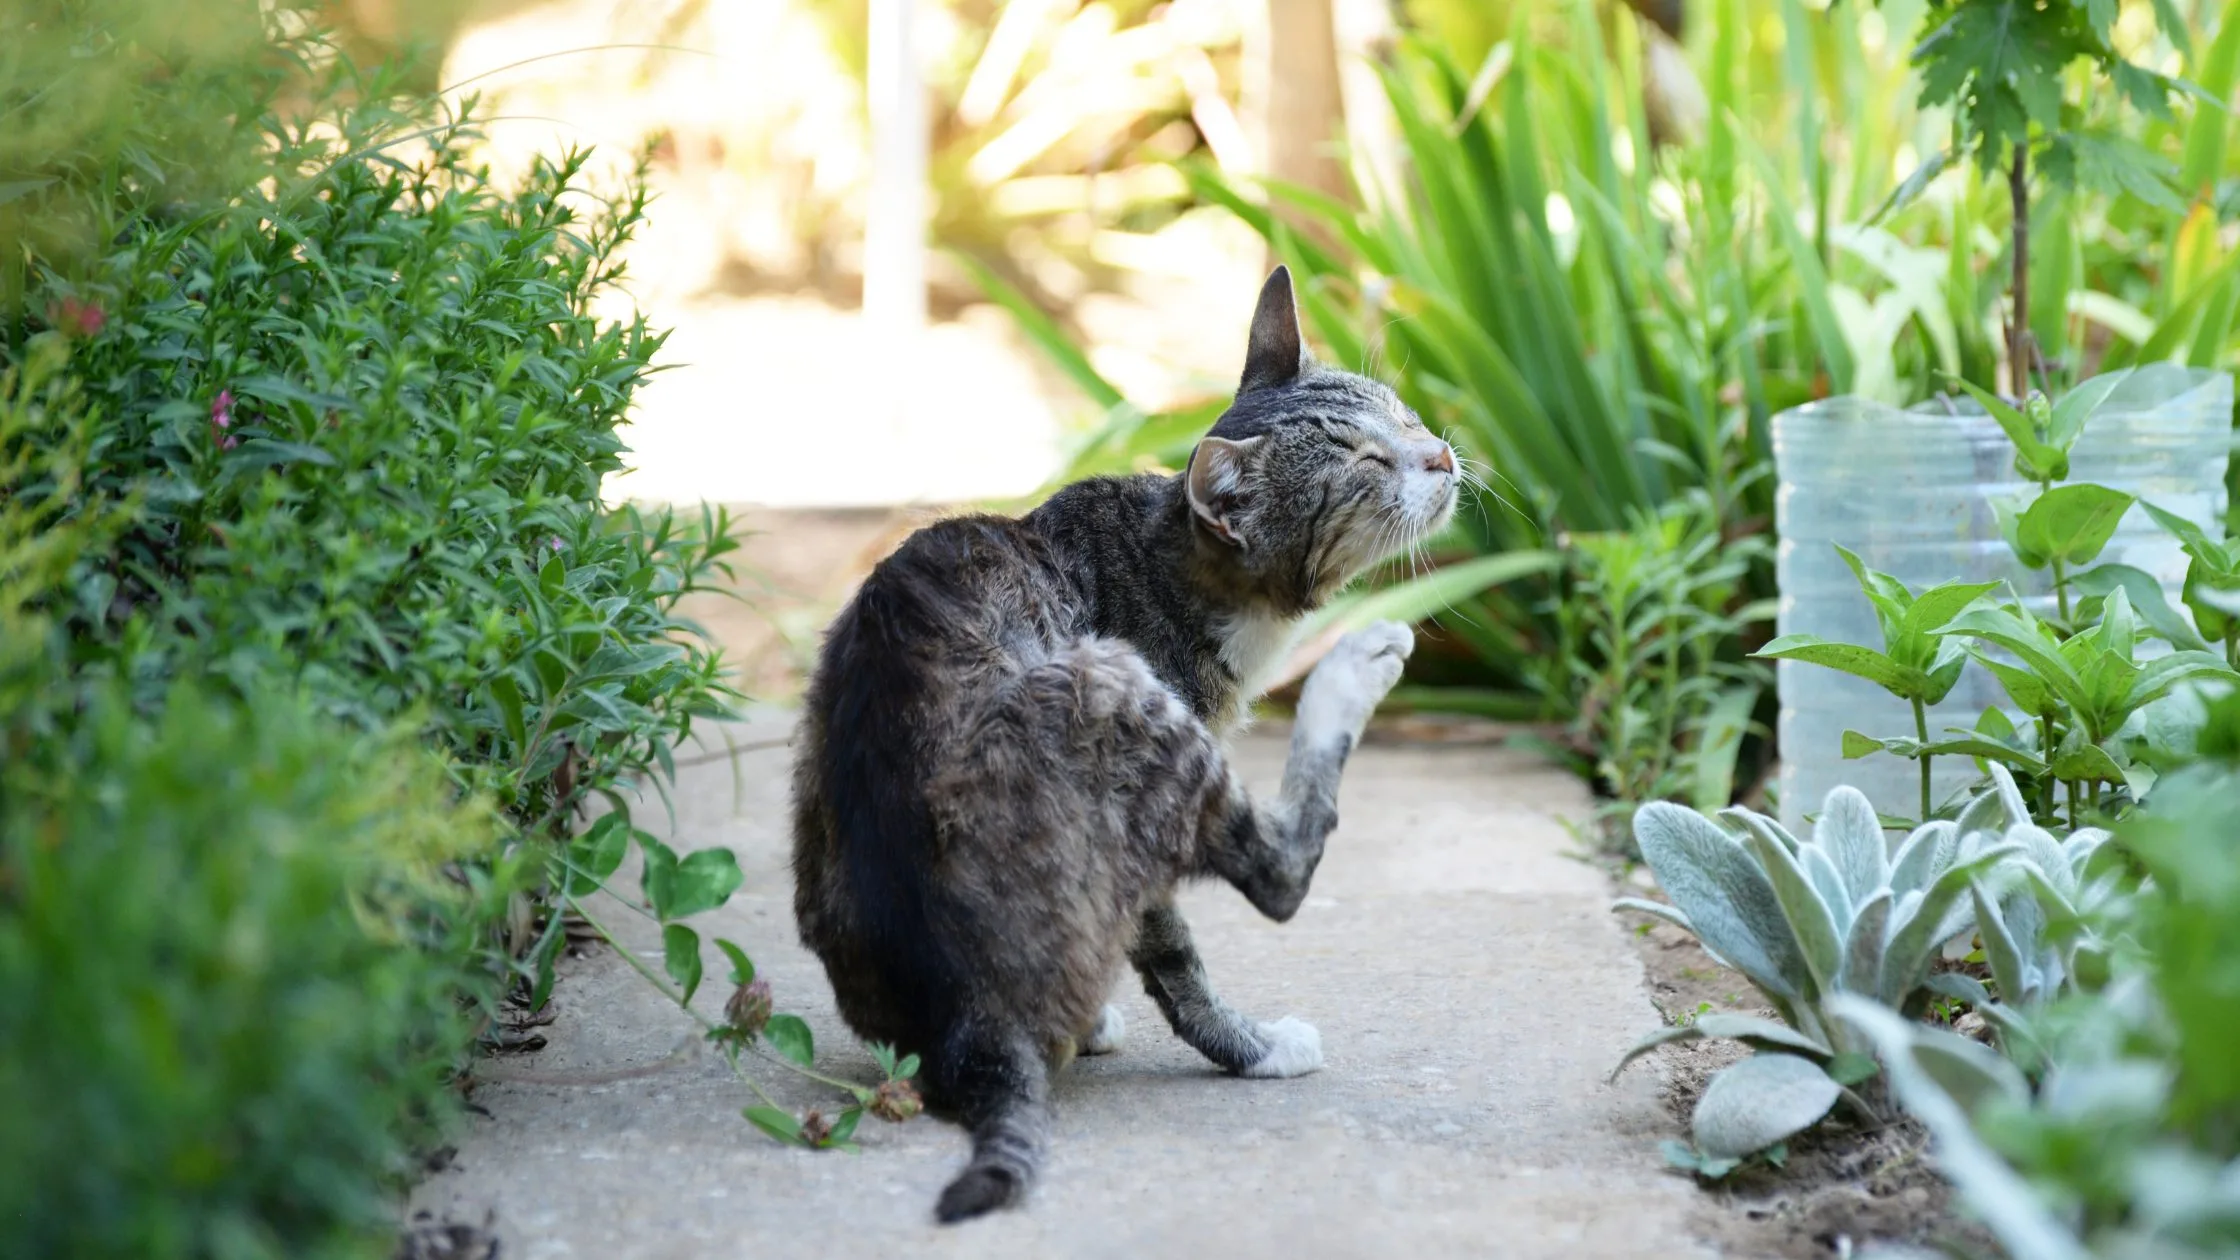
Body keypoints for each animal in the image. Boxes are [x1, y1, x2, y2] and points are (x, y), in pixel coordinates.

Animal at [784, 264, 1451, 1219]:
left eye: (1403, 416)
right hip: (1114, 689)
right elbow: (1174, 951)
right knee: (1280, 874)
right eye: (1365, 462)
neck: (1178, 562)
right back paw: (1355, 669)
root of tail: (963, 1029)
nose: (1443, 453)